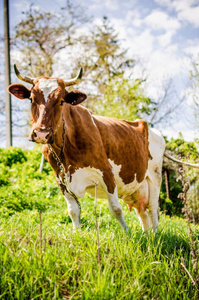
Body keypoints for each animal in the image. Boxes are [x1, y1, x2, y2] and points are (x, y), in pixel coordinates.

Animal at [7, 65, 166, 232]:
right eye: (31, 99)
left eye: (61, 101)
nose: (42, 134)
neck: (66, 153)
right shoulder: (60, 178)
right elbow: (73, 211)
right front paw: (76, 232)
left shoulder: (107, 173)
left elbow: (116, 209)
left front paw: (127, 233)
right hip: (136, 189)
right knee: (142, 213)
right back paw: (147, 234)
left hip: (155, 178)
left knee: (153, 210)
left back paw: (155, 235)